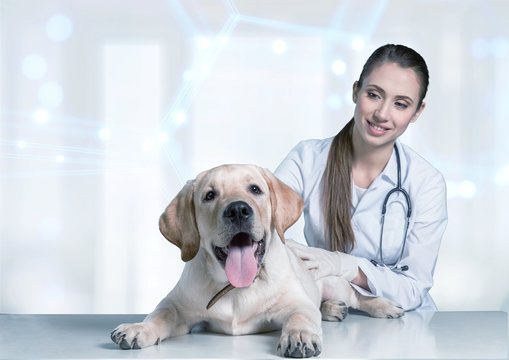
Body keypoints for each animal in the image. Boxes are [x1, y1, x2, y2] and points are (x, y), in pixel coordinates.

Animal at [112, 165, 404, 356]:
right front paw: (139, 328)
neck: (235, 288)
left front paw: (299, 336)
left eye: (255, 189)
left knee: (357, 296)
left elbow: (301, 315)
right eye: (209, 195)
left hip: (333, 282)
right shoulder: (179, 306)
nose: (238, 210)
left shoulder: (297, 302)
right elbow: (161, 313)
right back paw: (332, 309)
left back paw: (382, 306)